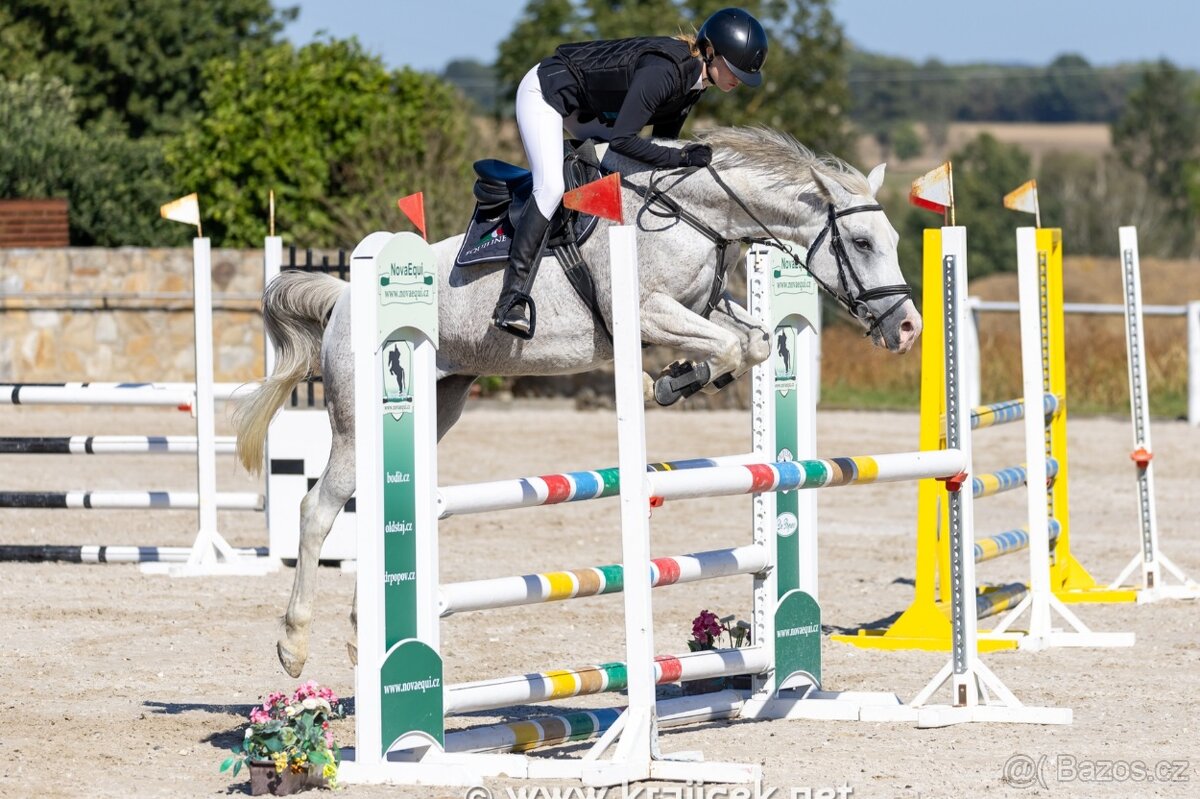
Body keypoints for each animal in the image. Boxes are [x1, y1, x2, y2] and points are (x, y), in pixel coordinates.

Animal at [234, 126, 922, 677]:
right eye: (862, 242)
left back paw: (362, 640)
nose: (908, 327)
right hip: (356, 422)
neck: (697, 213)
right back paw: (294, 648)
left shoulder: (694, 308)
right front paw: (665, 381)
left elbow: (748, 341)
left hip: (439, 404)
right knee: (318, 510)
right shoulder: (645, 310)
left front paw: (681, 376)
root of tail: (346, 296)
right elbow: (732, 345)